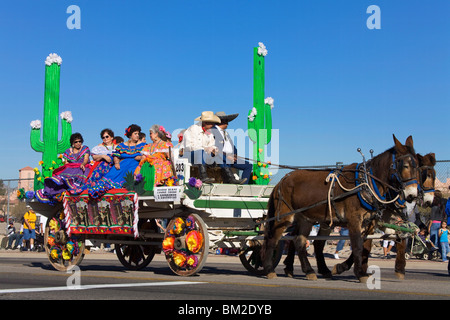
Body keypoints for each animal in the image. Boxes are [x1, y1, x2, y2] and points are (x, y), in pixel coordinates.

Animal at [260, 135, 418, 282]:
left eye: (417, 167)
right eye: (405, 166)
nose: (412, 195)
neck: (366, 183)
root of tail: (282, 180)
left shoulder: (367, 222)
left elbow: (364, 246)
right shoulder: (354, 219)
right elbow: (358, 246)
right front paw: (360, 273)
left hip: (306, 219)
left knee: (299, 241)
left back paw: (309, 270)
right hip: (285, 216)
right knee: (273, 239)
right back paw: (269, 269)